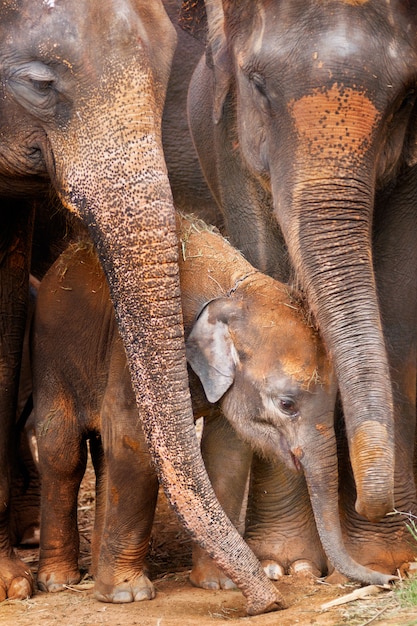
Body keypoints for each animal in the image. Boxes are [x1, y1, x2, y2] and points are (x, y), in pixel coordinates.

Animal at [33, 213, 394, 600]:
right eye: (287, 404)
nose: (390, 581)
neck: (232, 292)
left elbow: (227, 451)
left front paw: (218, 584)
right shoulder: (132, 357)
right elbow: (133, 440)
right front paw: (127, 595)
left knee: (102, 455)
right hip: (50, 360)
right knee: (62, 453)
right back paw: (58, 582)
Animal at [183, 0, 417, 572]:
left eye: (406, 97)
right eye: (257, 85)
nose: (370, 502)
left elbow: (396, 296)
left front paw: (388, 558)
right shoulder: (230, 135)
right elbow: (261, 255)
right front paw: (289, 565)